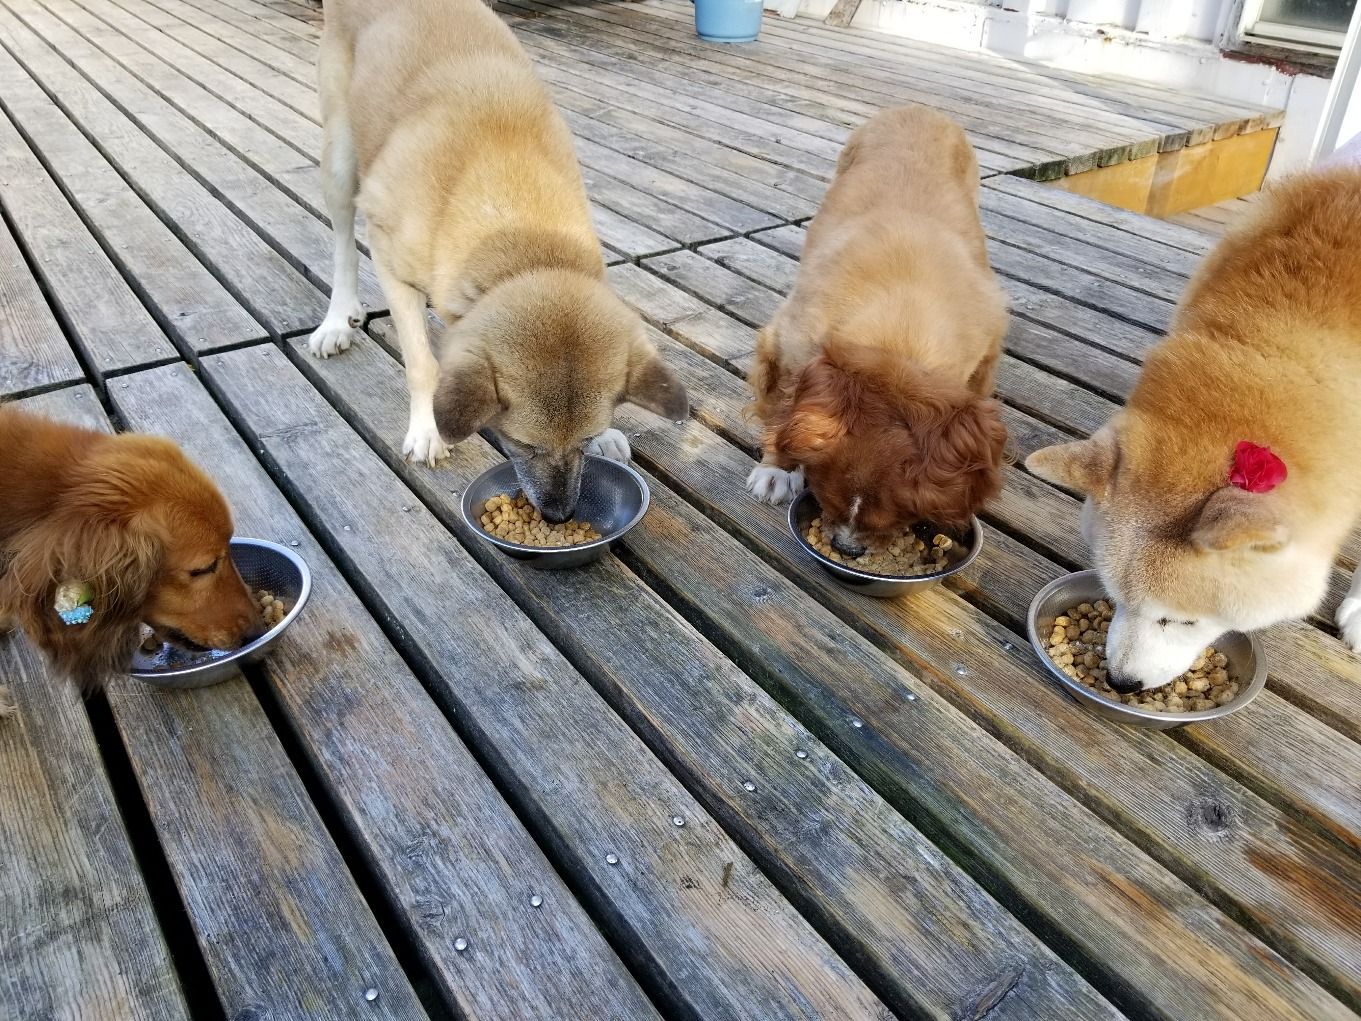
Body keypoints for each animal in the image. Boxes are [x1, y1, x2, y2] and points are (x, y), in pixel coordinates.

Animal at [309, 0, 686, 522]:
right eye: (523, 445)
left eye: (585, 441)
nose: (559, 516)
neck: (525, 243)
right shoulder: (391, 262)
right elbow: (421, 363)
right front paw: (428, 427)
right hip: (341, 161)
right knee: (343, 243)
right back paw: (337, 319)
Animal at [745, 105, 1008, 557]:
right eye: (826, 493)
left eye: (904, 512)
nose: (847, 548)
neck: (895, 346)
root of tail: (918, 107)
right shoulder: (785, 344)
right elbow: (780, 405)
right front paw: (776, 470)